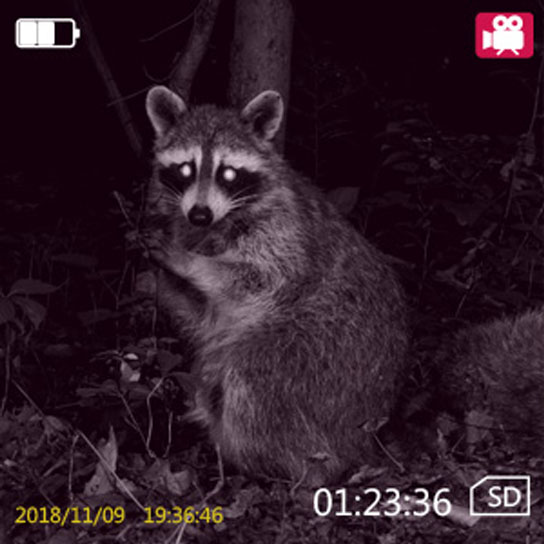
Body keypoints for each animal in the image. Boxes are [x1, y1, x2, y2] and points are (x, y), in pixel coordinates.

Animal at [144, 86, 408, 484]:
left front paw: (192, 265)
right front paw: (161, 279)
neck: (218, 223)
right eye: (186, 169)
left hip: (326, 349)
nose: (200, 214)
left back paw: (265, 460)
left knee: (253, 381)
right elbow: (201, 313)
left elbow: (261, 279)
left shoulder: (283, 231)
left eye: (228, 173)